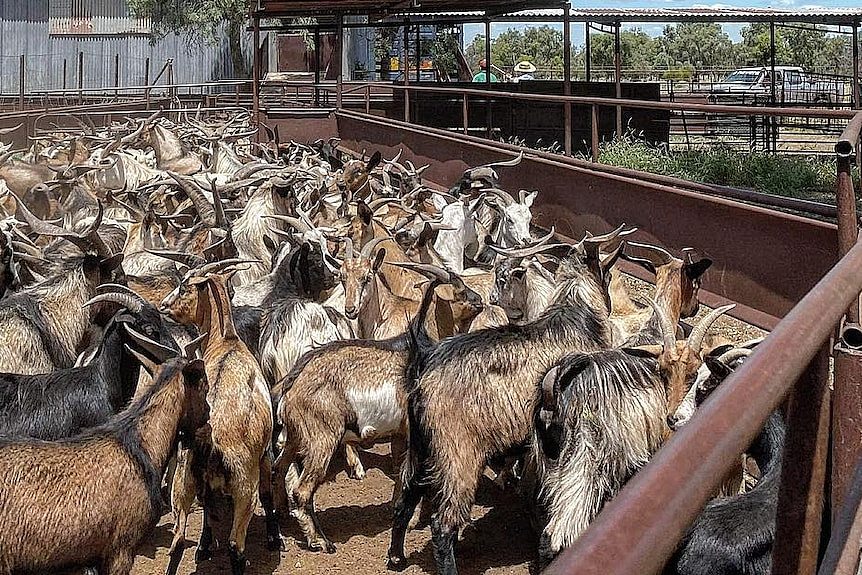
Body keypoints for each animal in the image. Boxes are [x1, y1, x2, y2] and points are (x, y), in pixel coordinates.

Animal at [388, 225, 632, 575]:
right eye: (607, 272)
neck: (576, 314)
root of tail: (425, 358)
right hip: (458, 453)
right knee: (442, 524)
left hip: (420, 445)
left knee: (405, 496)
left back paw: (396, 557)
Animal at [532, 302, 736, 568]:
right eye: (664, 371)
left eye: (694, 372)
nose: (671, 418)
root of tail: (556, 388)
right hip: (586, 459)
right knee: (560, 531)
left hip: (554, 461)